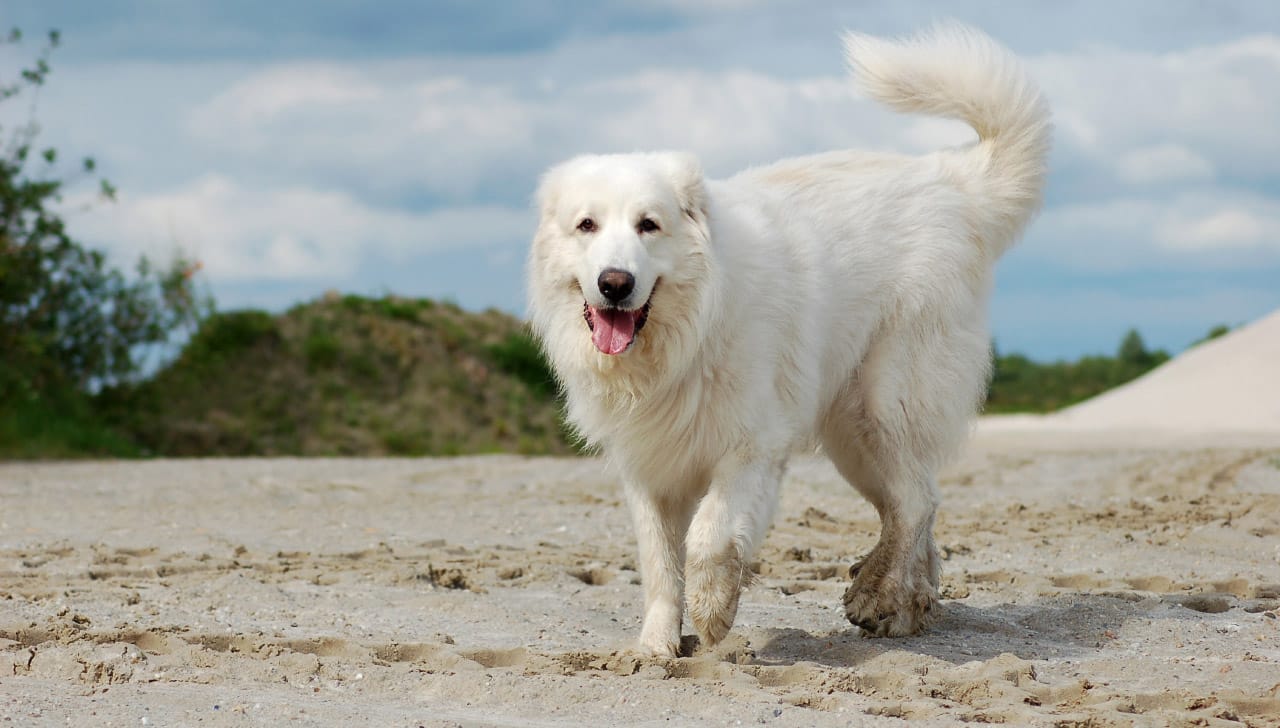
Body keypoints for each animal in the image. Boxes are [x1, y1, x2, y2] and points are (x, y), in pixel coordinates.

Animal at [524, 24, 1044, 660]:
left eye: (649, 225)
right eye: (586, 226)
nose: (614, 283)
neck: (685, 339)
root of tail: (954, 181)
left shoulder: (751, 448)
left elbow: (709, 538)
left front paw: (714, 611)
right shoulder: (649, 467)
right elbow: (659, 563)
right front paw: (656, 647)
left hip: (884, 404)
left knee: (916, 500)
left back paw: (876, 594)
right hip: (852, 437)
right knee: (913, 505)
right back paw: (905, 606)